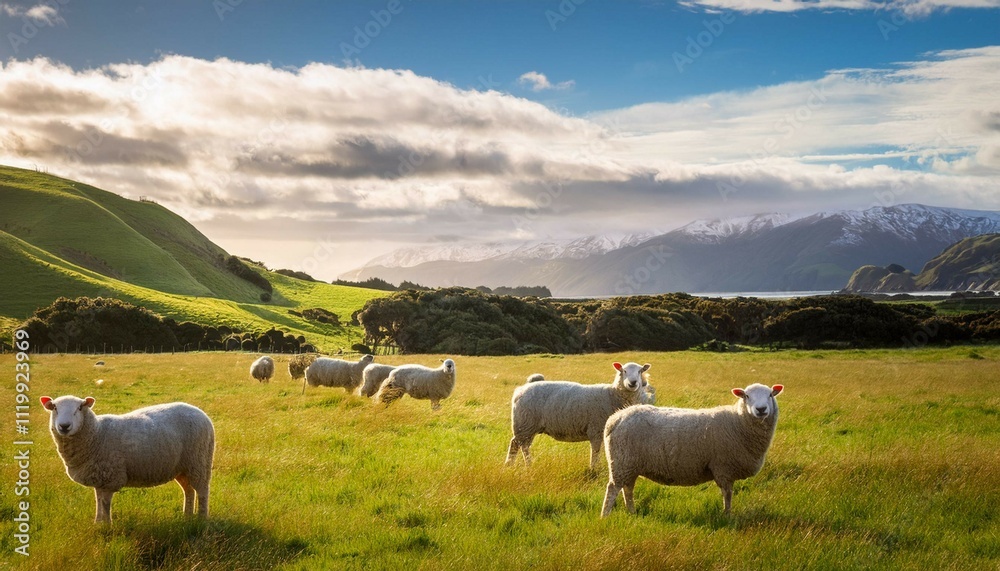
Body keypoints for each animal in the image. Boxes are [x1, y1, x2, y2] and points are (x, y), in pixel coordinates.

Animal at [39, 395, 215, 523]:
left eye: (80, 408)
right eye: (54, 407)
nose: (64, 426)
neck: (96, 434)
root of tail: (203, 415)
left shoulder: (110, 478)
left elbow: (105, 504)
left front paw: (106, 526)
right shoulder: (99, 478)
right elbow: (98, 501)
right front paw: (97, 523)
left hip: (199, 461)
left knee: (202, 491)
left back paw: (201, 519)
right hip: (182, 468)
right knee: (188, 490)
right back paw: (187, 516)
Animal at [505, 362, 651, 470]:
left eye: (640, 371)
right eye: (623, 371)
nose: (633, 383)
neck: (612, 394)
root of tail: (520, 389)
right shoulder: (596, 429)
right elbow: (596, 451)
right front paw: (594, 469)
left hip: (525, 426)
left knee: (514, 443)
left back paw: (509, 465)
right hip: (525, 424)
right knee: (523, 446)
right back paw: (528, 465)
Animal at [601, 383, 783, 518]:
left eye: (770, 395)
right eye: (746, 396)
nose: (761, 409)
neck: (737, 422)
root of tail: (615, 418)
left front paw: (726, 515)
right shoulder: (723, 468)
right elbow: (728, 495)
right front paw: (727, 516)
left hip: (629, 465)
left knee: (628, 489)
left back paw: (632, 512)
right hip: (621, 462)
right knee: (613, 489)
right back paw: (605, 516)